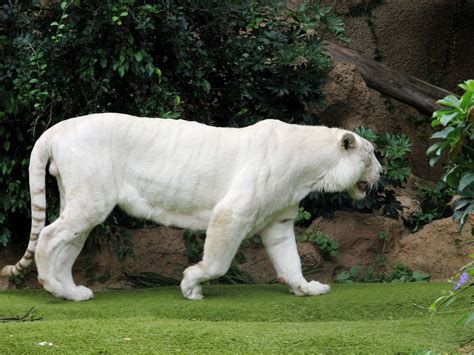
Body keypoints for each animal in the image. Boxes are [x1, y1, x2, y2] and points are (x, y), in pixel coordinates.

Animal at [1, 113, 384, 300]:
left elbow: (290, 261)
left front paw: (307, 289)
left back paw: (73, 293)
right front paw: (191, 286)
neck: (311, 171)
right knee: (48, 238)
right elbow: (217, 262)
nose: (382, 172)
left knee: (66, 247)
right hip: (89, 202)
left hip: (81, 202)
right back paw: (52, 287)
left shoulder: (279, 223)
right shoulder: (232, 214)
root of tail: (56, 129)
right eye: (372, 154)